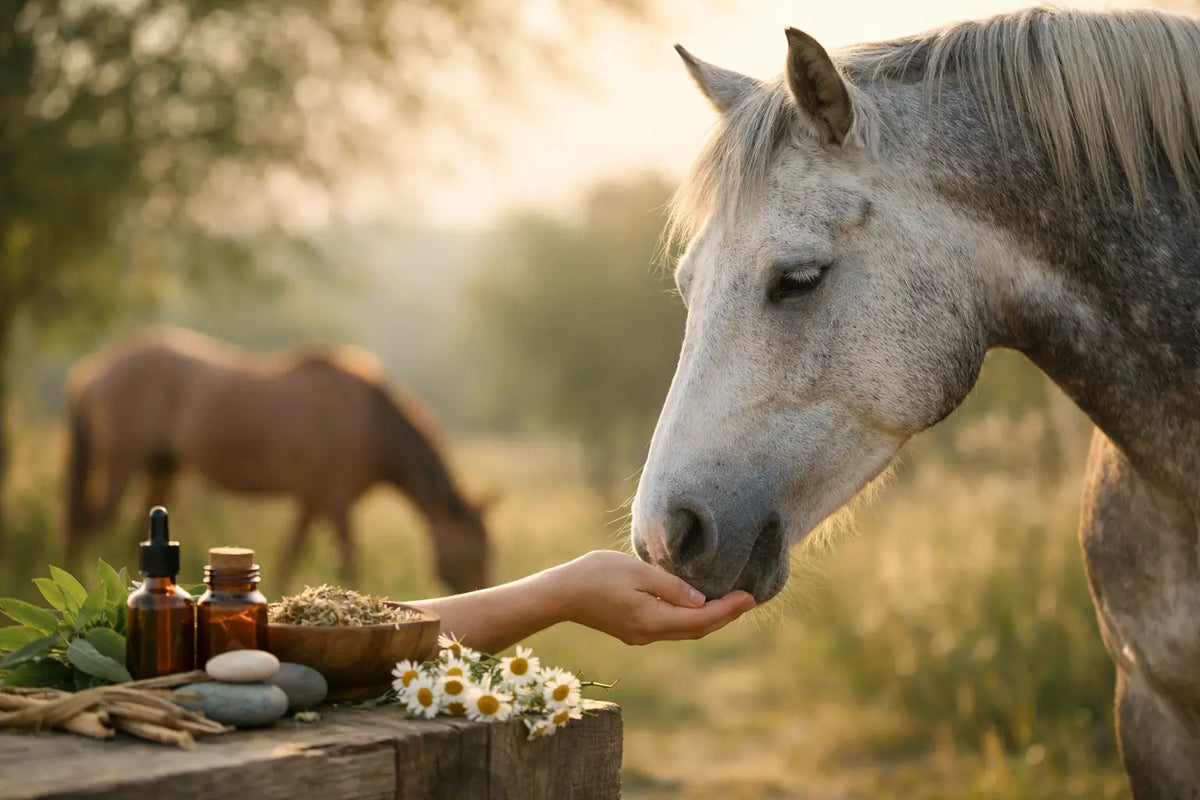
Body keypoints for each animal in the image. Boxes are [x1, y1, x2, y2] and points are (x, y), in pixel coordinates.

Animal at [65, 326, 492, 595]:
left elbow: (290, 555)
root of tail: (92, 370)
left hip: (162, 469)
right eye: (470, 553)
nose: (482, 588)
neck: (369, 420)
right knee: (88, 524)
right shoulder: (337, 504)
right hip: (121, 465)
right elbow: (349, 561)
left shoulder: (310, 502)